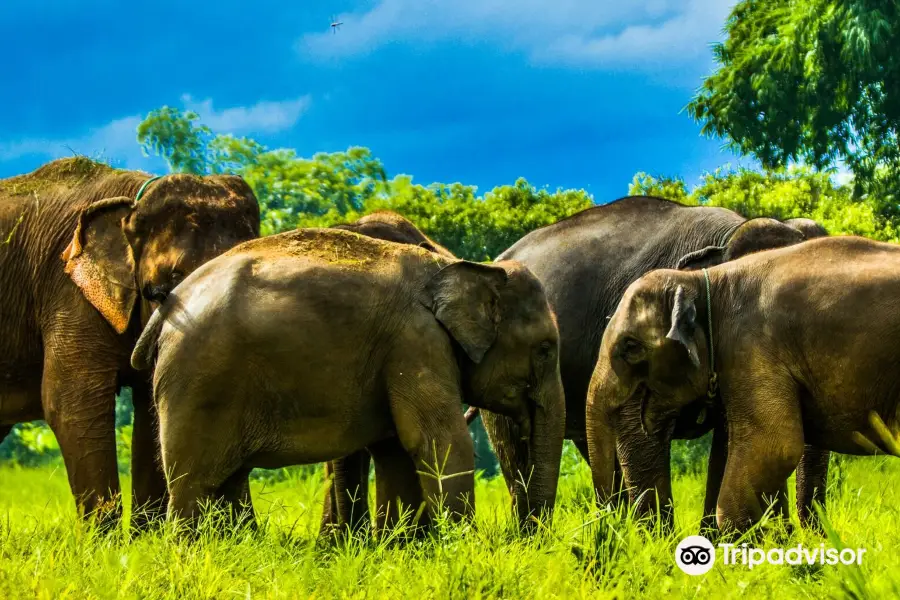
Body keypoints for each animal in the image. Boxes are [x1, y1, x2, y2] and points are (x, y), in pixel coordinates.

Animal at [0, 157, 260, 528]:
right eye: (161, 289)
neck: (132, 201)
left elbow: (154, 406)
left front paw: (146, 536)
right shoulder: (67, 291)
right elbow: (71, 401)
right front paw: (103, 540)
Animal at [130, 227, 568, 528]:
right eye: (546, 349)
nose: (523, 536)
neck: (464, 266)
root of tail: (166, 308)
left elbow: (396, 451)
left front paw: (405, 551)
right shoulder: (416, 341)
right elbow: (438, 442)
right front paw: (461, 547)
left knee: (227, 482)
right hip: (197, 383)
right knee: (194, 486)